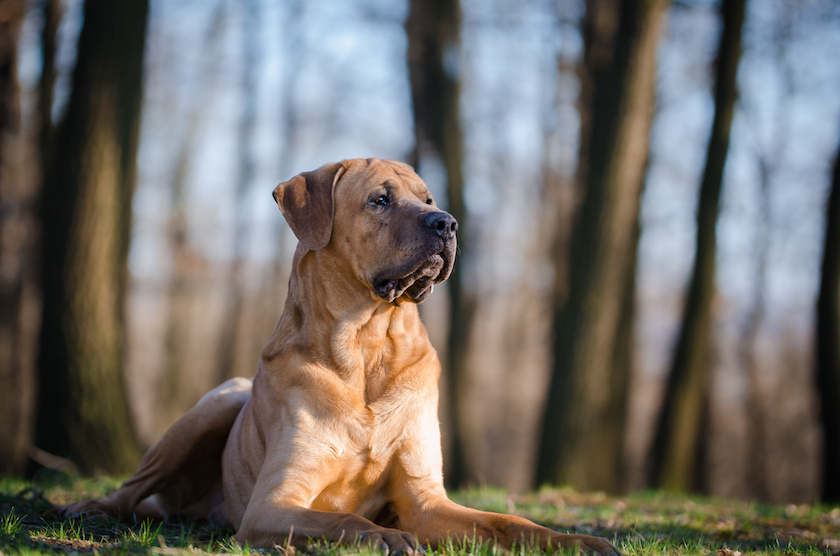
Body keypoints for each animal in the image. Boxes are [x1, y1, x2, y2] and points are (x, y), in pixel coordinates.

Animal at [52, 159, 620, 552]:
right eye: (379, 200)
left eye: (428, 197)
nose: (448, 223)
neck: (368, 347)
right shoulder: (273, 503)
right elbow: (343, 518)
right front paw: (382, 536)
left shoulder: (425, 498)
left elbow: (505, 521)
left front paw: (575, 540)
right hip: (215, 404)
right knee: (132, 487)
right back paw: (90, 507)